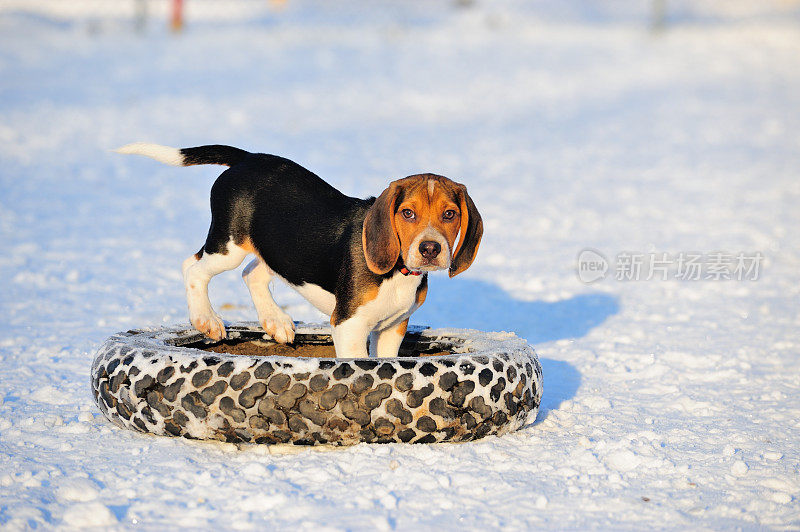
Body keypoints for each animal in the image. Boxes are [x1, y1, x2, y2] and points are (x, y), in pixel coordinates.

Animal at [114, 143, 482, 358]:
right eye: (407, 213)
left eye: (450, 214)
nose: (431, 248)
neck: (399, 271)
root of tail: (246, 158)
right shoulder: (348, 326)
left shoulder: (393, 328)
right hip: (229, 245)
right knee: (191, 266)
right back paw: (207, 319)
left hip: (279, 249)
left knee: (252, 273)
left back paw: (275, 321)